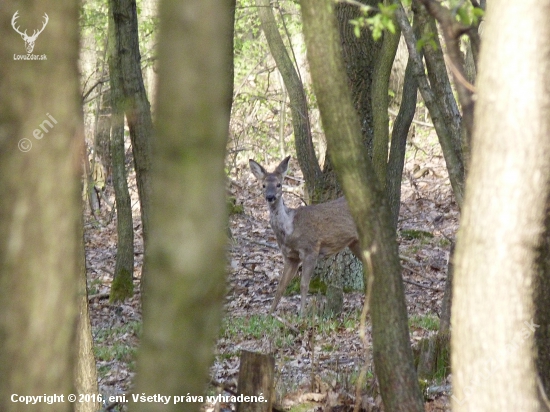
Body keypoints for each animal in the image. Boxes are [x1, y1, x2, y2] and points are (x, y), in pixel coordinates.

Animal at [250, 156, 362, 314]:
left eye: (279, 184)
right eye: (263, 185)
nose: (270, 197)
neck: (289, 228)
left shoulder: (311, 250)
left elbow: (304, 285)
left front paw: (302, 313)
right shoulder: (290, 257)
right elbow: (281, 286)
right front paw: (269, 313)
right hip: (355, 243)